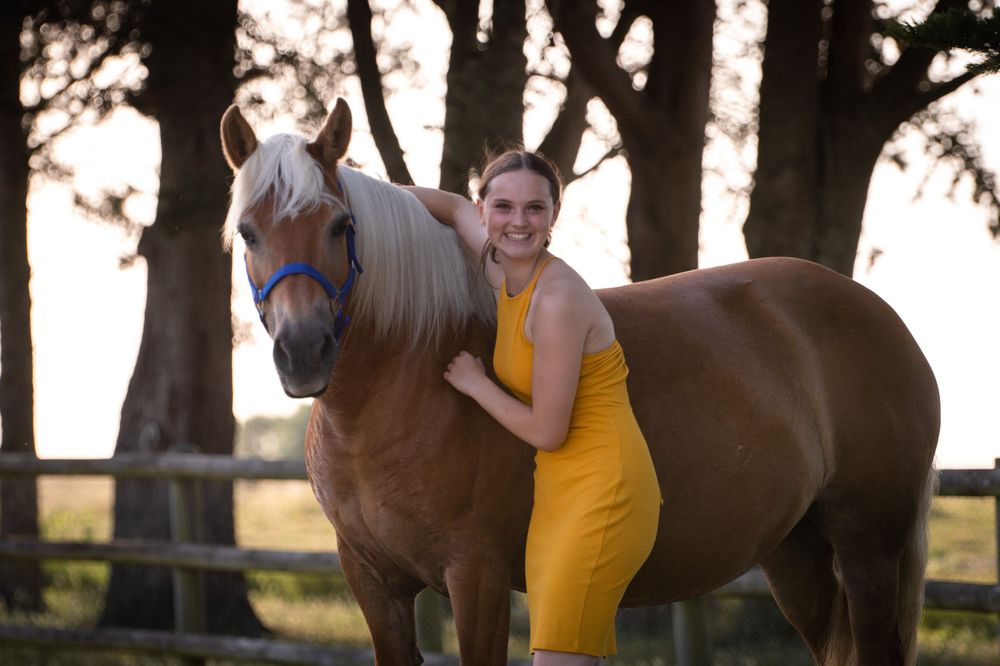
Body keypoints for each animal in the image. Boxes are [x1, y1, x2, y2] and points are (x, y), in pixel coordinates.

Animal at [219, 98, 939, 666]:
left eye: (340, 226)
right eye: (247, 232)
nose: (304, 353)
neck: (397, 390)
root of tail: (877, 312)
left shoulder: (476, 577)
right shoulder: (373, 581)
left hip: (870, 549)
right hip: (797, 551)